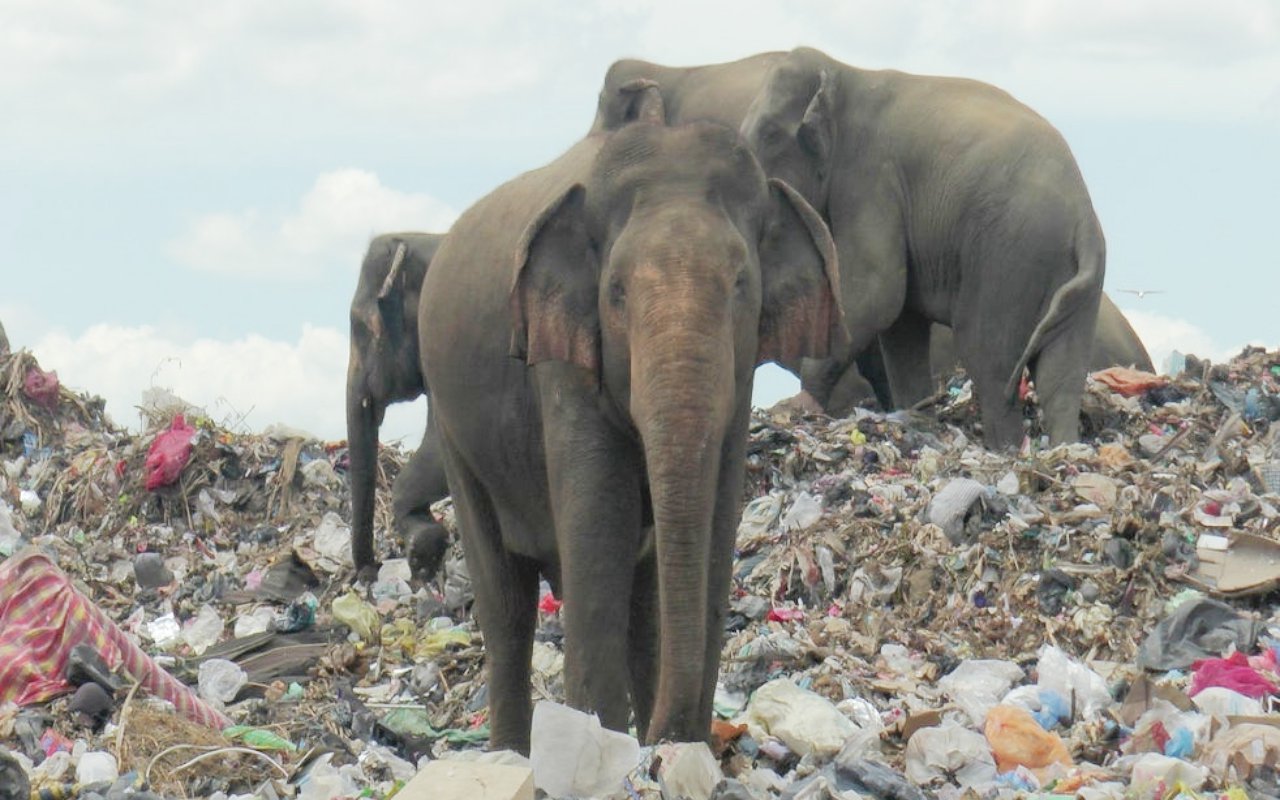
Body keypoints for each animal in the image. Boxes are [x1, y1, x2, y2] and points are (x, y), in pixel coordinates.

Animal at [419, 93, 844, 747]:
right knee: (507, 604)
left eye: (740, 283)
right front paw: (599, 745)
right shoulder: (562, 363)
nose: (669, 737)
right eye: (616, 291)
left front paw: (673, 753)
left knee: (640, 606)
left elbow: (715, 527)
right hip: (452, 426)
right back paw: (513, 754)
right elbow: (601, 533)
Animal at [593, 45, 1105, 450]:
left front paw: (799, 406)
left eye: (770, 134)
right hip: (1061, 270)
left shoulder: (871, 173)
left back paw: (1006, 451)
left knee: (990, 356)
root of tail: (1084, 215)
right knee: (1060, 370)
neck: (845, 74)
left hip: (1009, 254)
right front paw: (915, 413)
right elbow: (900, 323)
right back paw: (1061, 450)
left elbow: (879, 290)